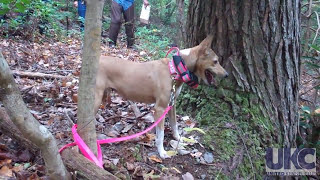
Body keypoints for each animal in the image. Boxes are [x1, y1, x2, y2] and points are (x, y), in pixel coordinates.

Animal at [94, 34, 229, 158]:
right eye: (215, 61)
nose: (227, 75)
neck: (174, 71)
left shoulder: (172, 104)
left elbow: (174, 125)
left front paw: (178, 138)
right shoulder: (160, 109)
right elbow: (161, 134)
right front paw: (162, 152)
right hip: (96, 98)